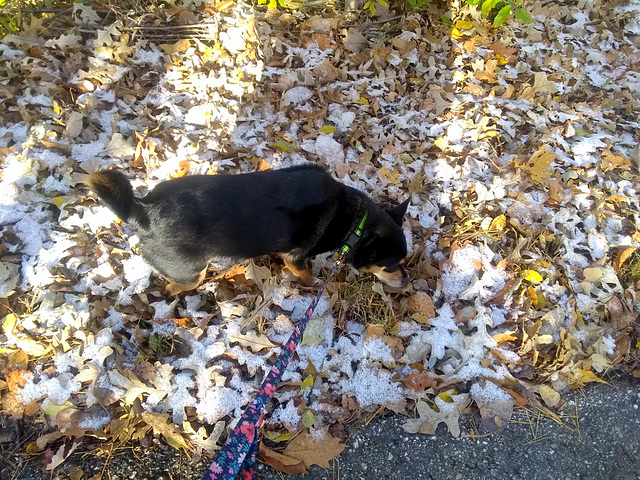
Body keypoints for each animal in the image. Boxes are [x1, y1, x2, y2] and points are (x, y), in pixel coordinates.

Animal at [86, 164, 410, 292]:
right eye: (390, 266)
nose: (408, 283)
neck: (356, 221)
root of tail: (142, 210)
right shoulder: (296, 259)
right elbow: (306, 275)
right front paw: (315, 284)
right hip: (191, 271)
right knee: (173, 286)